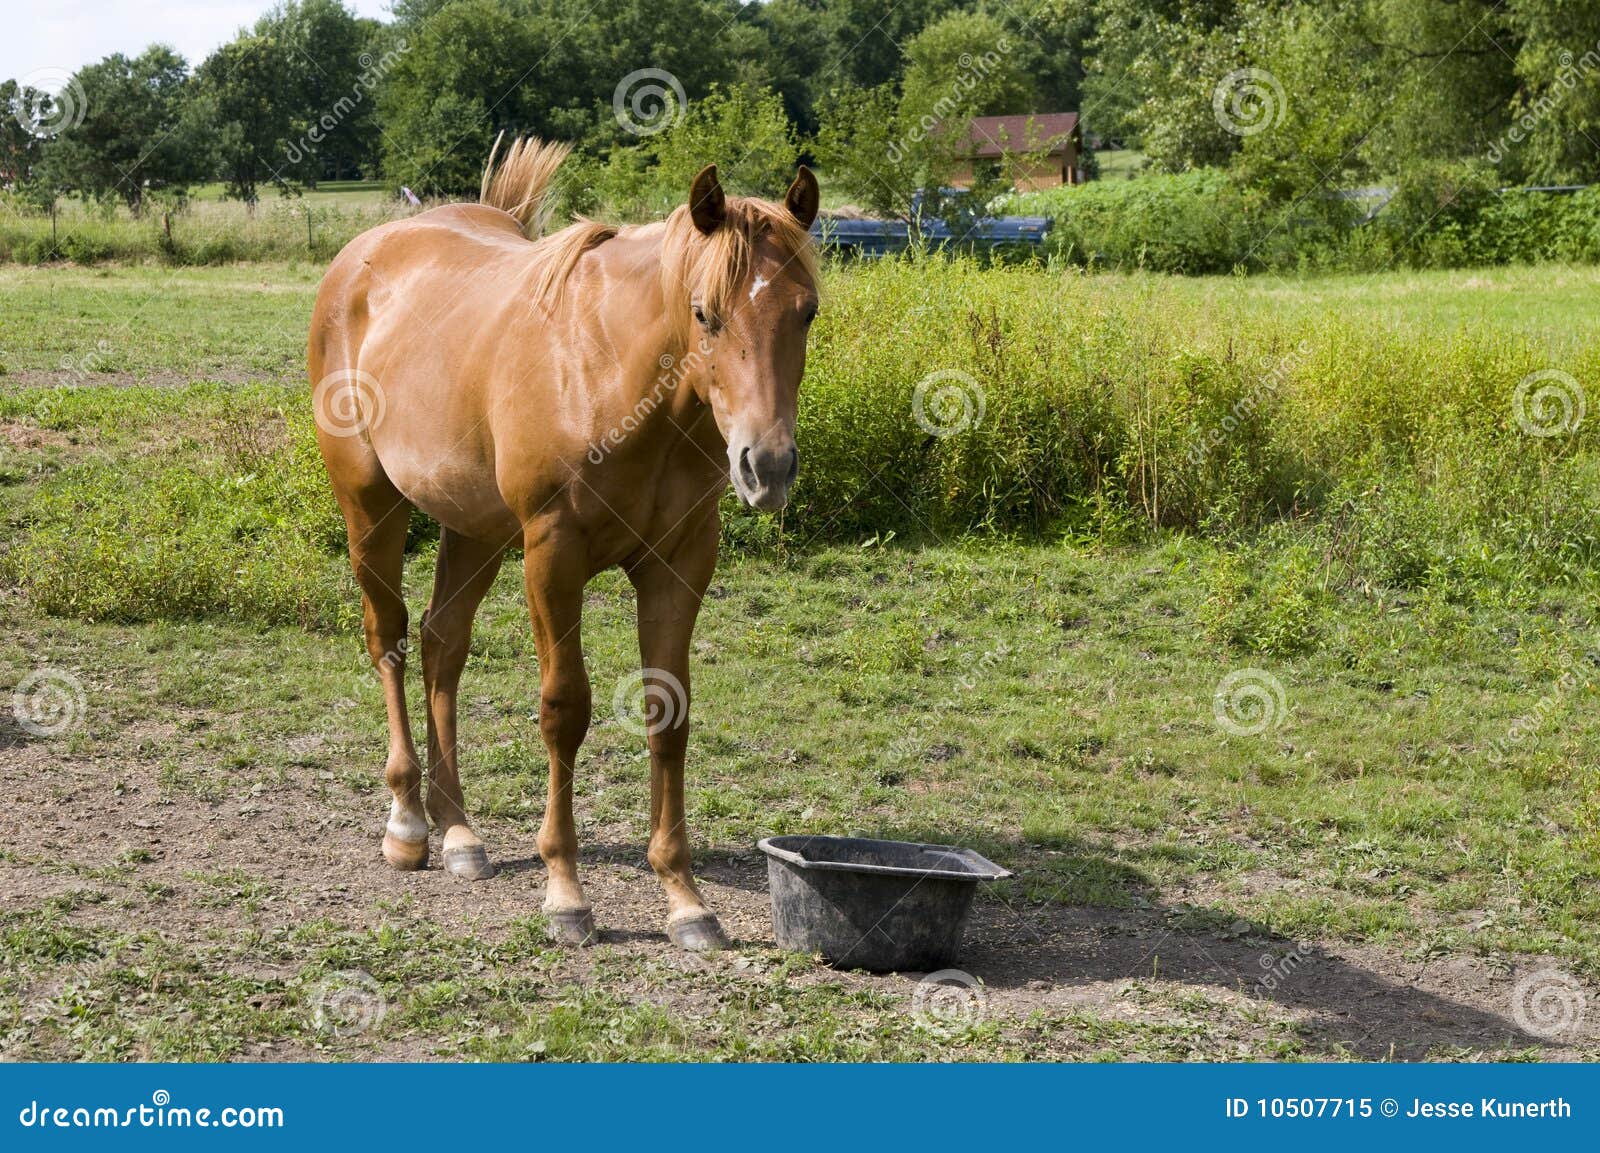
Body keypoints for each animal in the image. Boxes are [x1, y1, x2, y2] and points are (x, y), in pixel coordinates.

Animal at [308, 137, 820, 951]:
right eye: (704, 313)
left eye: (806, 312)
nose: (765, 466)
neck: (611, 373)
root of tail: (362, 256)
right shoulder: (553, 555)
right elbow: (563, 710)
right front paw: (566, 892)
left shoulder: (680, 563)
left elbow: (668, 712)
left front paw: (684, 897)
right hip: (371, 506)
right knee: (387, 637)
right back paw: (408, 823)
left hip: (473, 528)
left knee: (441, 644)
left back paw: (459, 832)